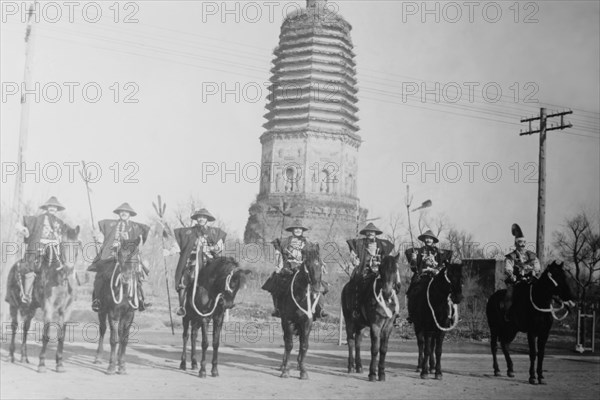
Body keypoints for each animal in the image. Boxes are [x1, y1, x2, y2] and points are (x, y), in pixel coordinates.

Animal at [5, 225, 81, 372]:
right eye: (63, 245)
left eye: (78, 245)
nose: (69, 269)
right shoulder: (48, 307)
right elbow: (46, 335)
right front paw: (41, 364)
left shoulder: (66, 310)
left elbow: (61, 336)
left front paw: (59, 364)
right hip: (13, 305)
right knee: (14, 327)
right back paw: (11, 355)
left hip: (31, 309)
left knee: (26, 328)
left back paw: (24, 357)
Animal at [94, 244, 145, 376]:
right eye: (120, 257)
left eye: (135, 259)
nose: (125, 278)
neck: (125, 291)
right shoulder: (113, 314)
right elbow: (113, 339)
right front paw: (111, 367)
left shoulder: (129, 315)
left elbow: (124, 340)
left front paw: (122, 366)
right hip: (102, 312)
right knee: (103, 330)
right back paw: (98, 357)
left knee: (121, 332)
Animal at [276, 242, 324, 380]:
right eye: (307, 264)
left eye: (320, 263)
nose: (316, 288)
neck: (301, 296)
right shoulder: (288, 321)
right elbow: (289, 344)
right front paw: (285, 370)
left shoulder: (307, 322)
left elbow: (304, 345)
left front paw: (303, 370)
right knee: (286, 341)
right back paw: (283, 365)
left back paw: (298, 364)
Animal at [340, 253, 400, 382]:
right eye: (381, 269)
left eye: (395, 270)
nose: (387, 292)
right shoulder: (375, 325)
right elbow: (375, 349)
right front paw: (372, 373)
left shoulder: (388, 326)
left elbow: (383, 349)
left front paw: (381, 373)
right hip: (349, 322)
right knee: (351, 342)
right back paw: (350, 366)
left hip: (360, 325)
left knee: (357, 342)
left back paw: (359, 366)